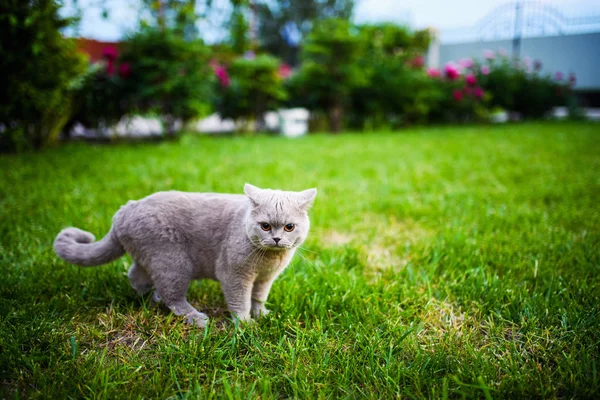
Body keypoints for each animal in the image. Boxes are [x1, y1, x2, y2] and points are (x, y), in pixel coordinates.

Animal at [54, 184, 316, 328]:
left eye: (289, 227)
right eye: (265, 226)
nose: (277, 239)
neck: (269, 260)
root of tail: (123, 210)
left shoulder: (266, 278)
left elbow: (259, 297)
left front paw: (262, 315)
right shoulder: (234, 274)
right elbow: (240, 300)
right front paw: (245, 324)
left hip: (153, 258)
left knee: (136, 274)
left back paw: (149, 299)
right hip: (173, 262)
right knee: (172, 297)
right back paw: (196, 318)